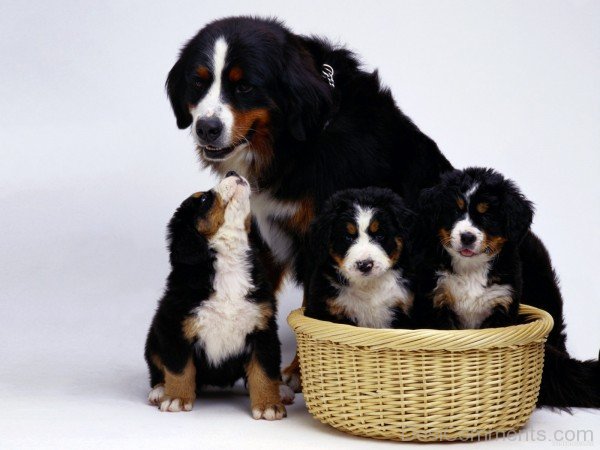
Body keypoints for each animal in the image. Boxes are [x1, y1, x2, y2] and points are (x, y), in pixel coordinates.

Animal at [146, 171, 296, 418]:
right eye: (204, 199)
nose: (232, 173)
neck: (229, 262)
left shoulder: (262, 329)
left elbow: (264, 372)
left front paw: (268, 404)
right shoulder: (175, 328)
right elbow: (179, 369)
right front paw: (177, 398)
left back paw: (281, 389)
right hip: (154, 339)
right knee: (158, 370)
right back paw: (159, 391)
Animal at [410, 167, 532, 328]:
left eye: (487, 215)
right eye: (455, 211)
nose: (467, 237)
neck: (470, 268)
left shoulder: (502, 300)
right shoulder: (436, 299)